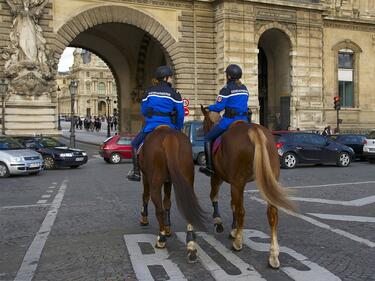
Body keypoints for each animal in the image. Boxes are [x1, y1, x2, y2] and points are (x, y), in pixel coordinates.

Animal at [137, 126, 206, 262]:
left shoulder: (146, 177)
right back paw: (191, 245)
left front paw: (144, 218)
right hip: (187, 179)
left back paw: (161, 239)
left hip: (155, 182)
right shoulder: (169, 181)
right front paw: (168, 227)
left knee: (158, 208)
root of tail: (169, 137)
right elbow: (167, 202)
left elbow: (146, 197)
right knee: (187, 207)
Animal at [201, 105, 296, 266]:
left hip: (236, 182)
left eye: (203, 123)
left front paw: (220, 223)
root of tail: (254, 131)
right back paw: (273, 254)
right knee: (272, 214)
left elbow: (216, 197)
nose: (203, 133)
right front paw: (234, 229)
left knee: (241, 211)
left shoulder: (219, 177)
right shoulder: (234, 182)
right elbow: (233, 204)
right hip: (267, 181)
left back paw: (238, 243)